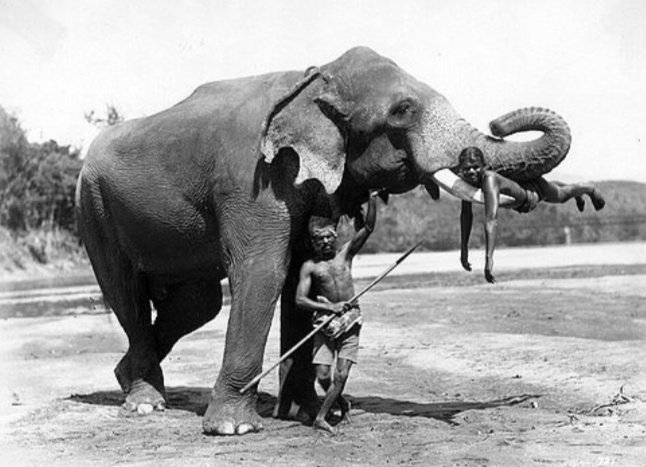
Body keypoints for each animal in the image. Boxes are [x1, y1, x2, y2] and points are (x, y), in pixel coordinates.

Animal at [77, 45, 572, 436]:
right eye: (402, 110)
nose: (497, 126)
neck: (312, 77)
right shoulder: (252, 180)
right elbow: (264, 271)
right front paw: (234, 429)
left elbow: (296, 272)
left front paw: (306, 413)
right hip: (94, 209)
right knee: (127, 291)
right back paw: (145, 403)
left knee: (199, 304)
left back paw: (128, 379)